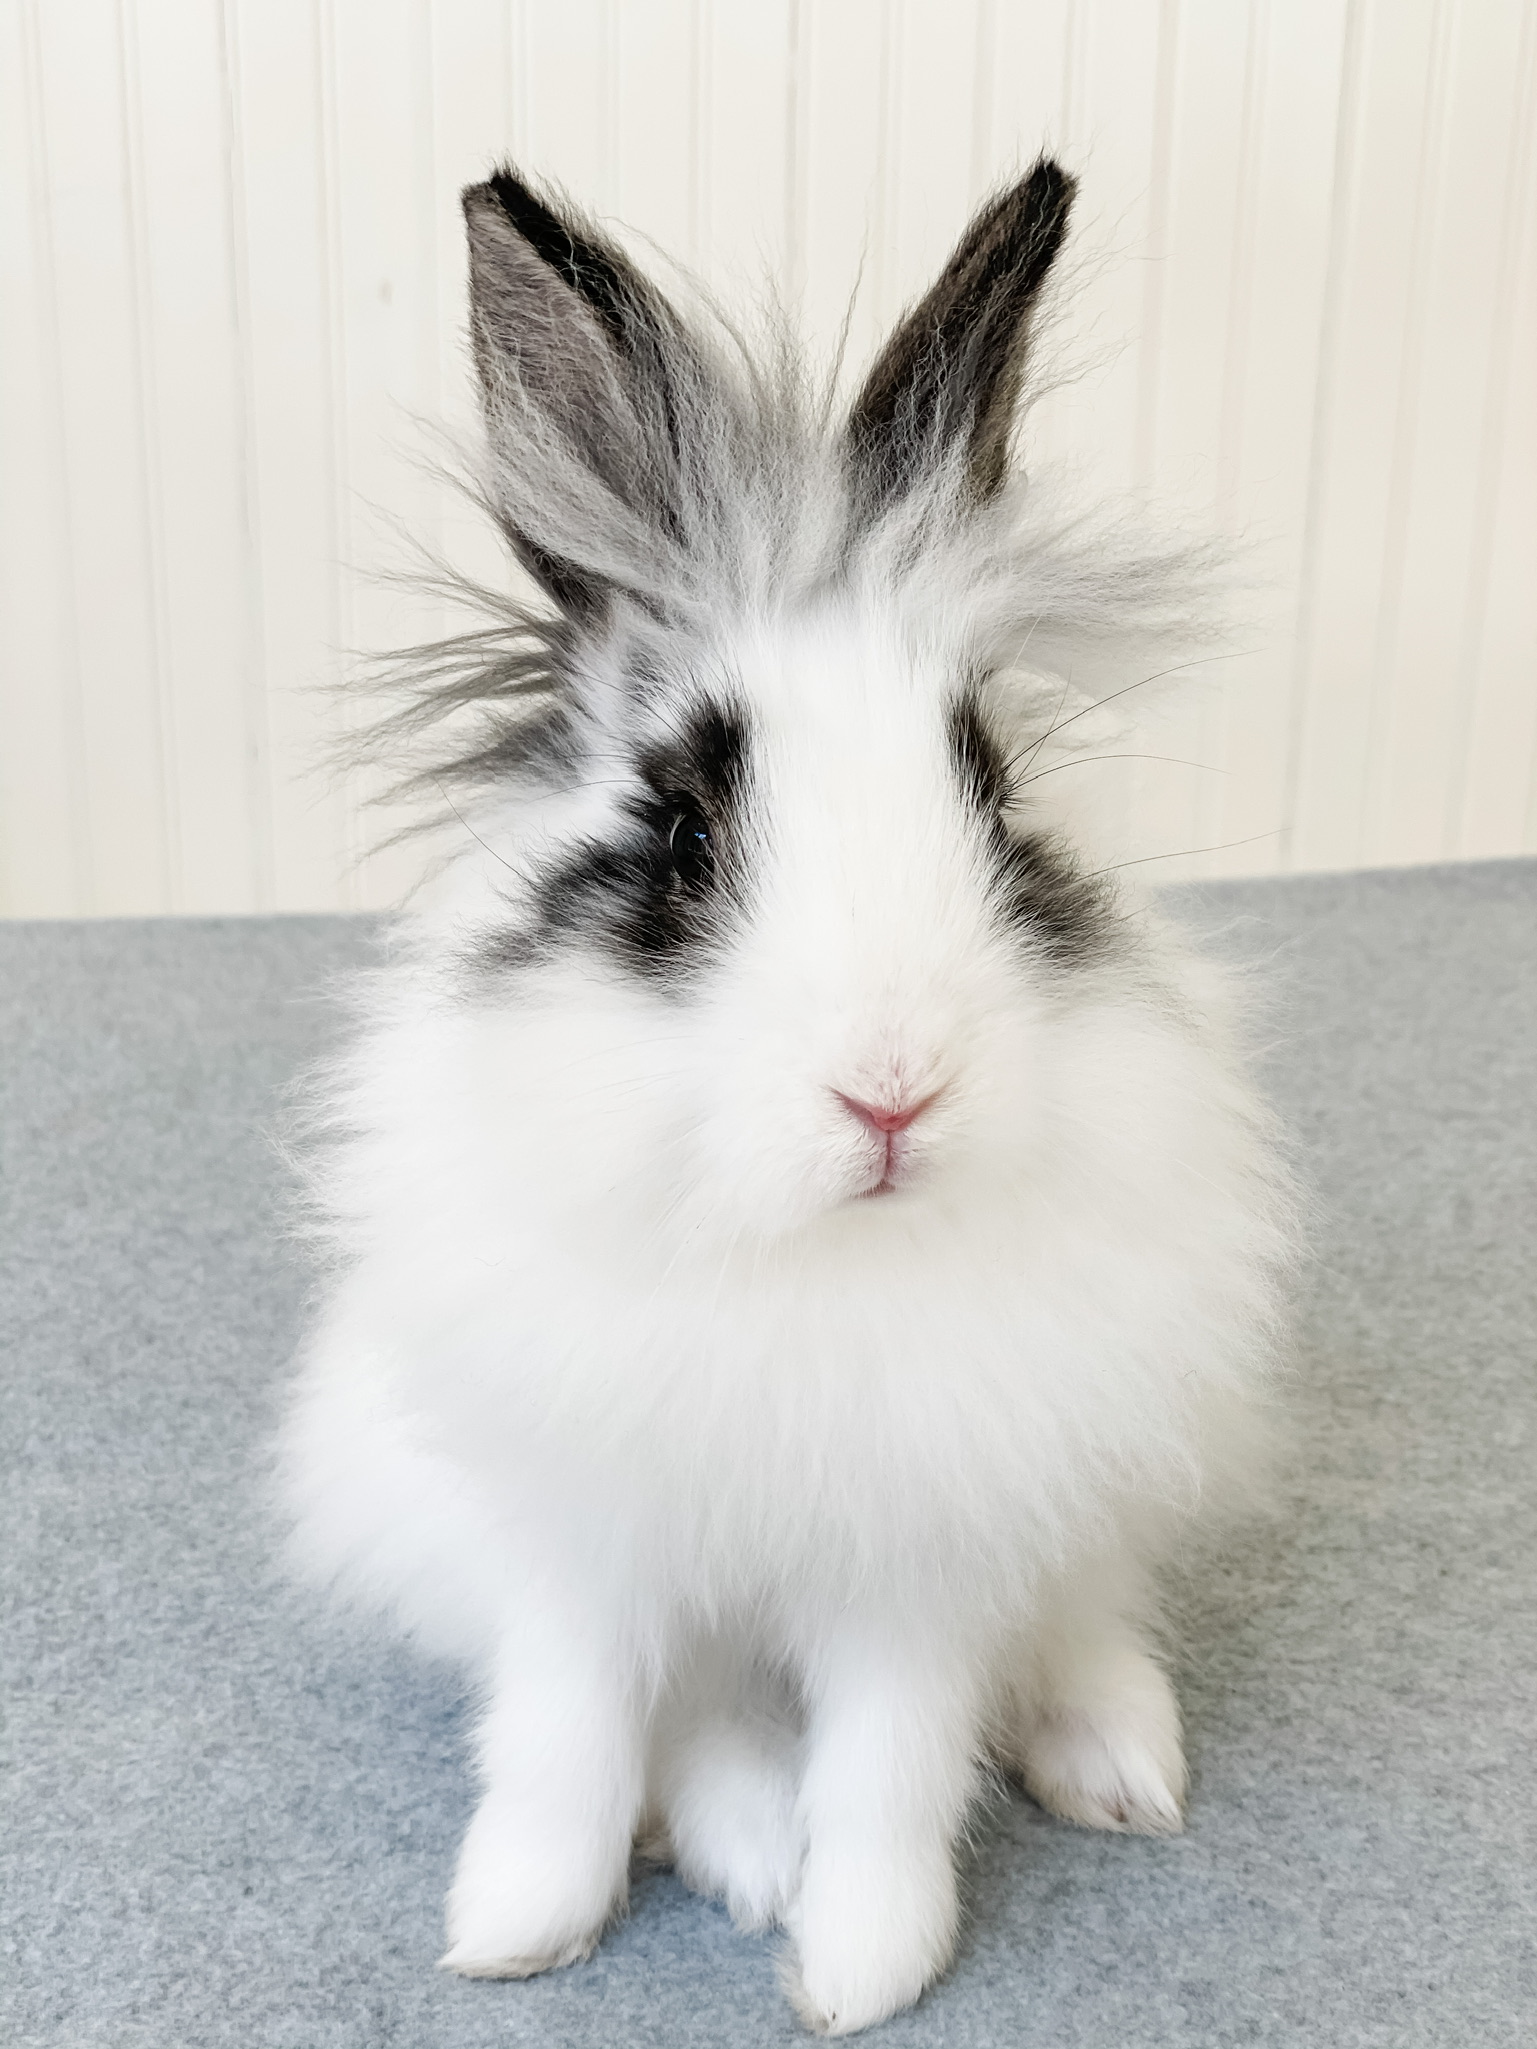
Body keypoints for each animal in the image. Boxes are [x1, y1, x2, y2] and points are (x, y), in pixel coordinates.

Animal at [278, 159, 1297, 2036]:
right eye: (683, 832)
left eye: (995, 797)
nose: (892, 1090)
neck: (809, 1257)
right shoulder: (577, 1536)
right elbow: (567, 1741)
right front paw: (515, 1929)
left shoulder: (921, 1560)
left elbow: (891, 1768)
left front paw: (861, 1968)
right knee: (701, 1720)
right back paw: (745, 1839)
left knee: (1082, 1617)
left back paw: (1113, 1763)